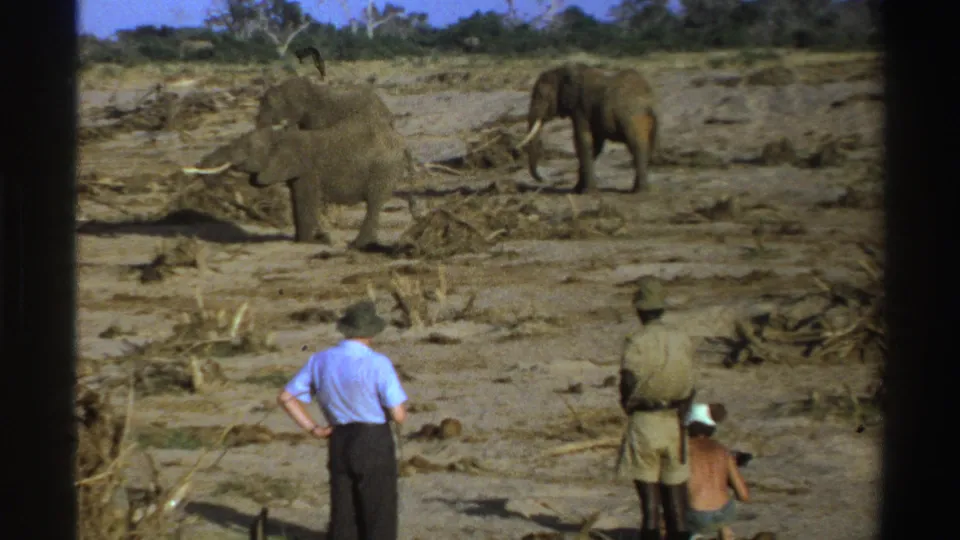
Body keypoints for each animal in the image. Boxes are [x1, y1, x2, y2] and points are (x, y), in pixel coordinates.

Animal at [181, 118, 411, 249]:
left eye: (246, 148)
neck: (281, 135)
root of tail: (401, 142)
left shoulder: (307, 170)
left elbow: (304, 198)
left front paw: (310, 242)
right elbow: (295, 197)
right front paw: (306, 240)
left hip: (383, 169)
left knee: (374, 203)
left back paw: (357, 246)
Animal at [515, 63, 659, 194]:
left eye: (540, 96)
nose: (542, 180)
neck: (563, 70)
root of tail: (649, 102)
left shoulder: (580, 108)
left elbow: (583, 140)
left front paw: (586, 192)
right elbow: (595, 145)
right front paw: (578, 189)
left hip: (632, 116)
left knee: (637, 146)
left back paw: (639, 191)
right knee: (647, 146)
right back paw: (642, 189)